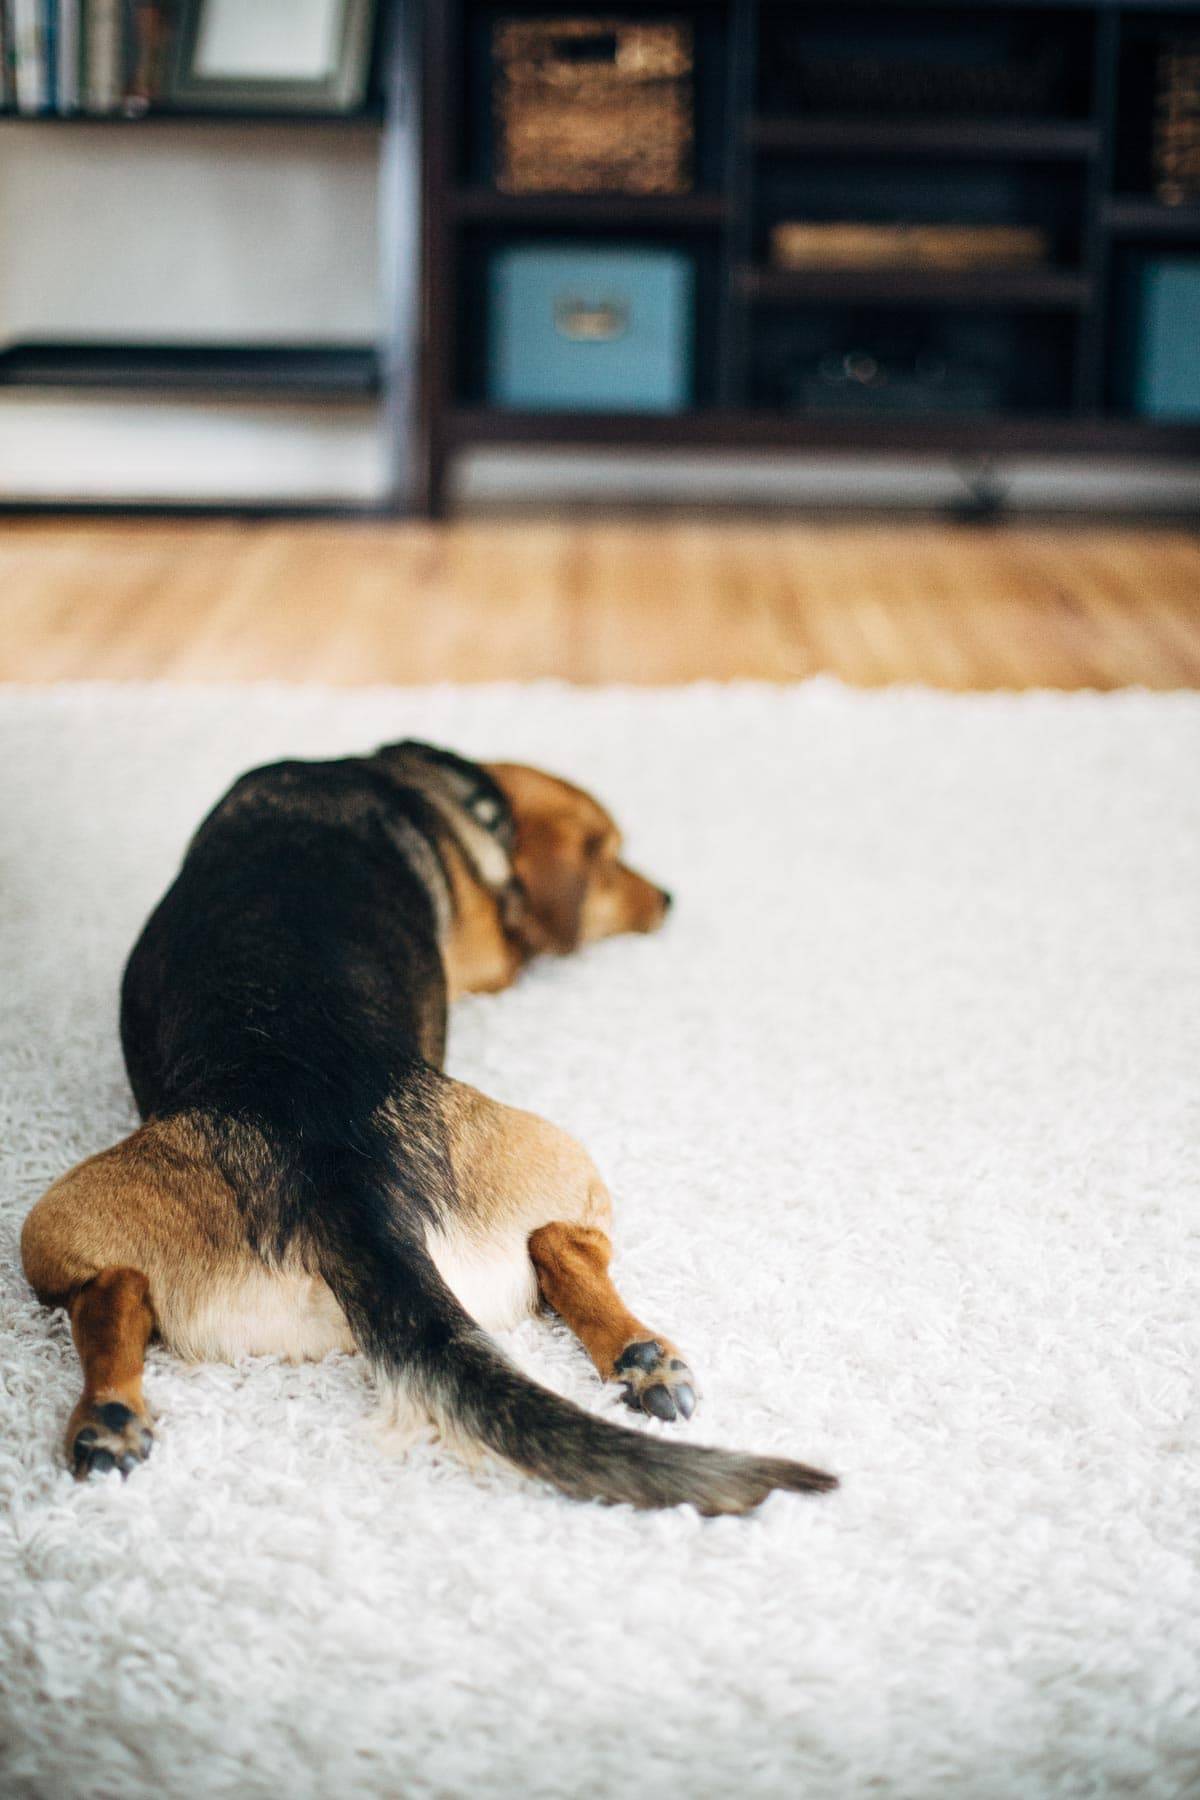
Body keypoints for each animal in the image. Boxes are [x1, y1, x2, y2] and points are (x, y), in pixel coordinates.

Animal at [23, 738, 841, 1512]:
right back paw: (640, 1353)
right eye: (610, 856)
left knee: (114, 1290)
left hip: (69, 1221)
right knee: (563, 1248)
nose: (668, 898)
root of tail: (349, 1188)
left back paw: (110, 1415)